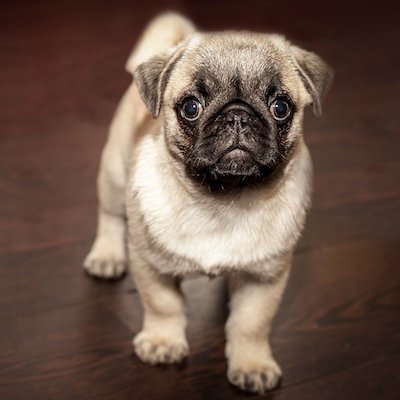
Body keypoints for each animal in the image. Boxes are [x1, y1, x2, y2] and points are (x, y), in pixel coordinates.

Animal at [83, 12, 332, 394]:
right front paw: (162, 342)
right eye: (190, 108)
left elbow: (251, 324)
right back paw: (107, 257)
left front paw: (252, 365)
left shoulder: (264, 278)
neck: (222, 199)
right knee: (110, 215)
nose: (238, 115)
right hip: (113, 173)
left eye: (281, 107)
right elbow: (164, 305)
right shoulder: (150, 265)